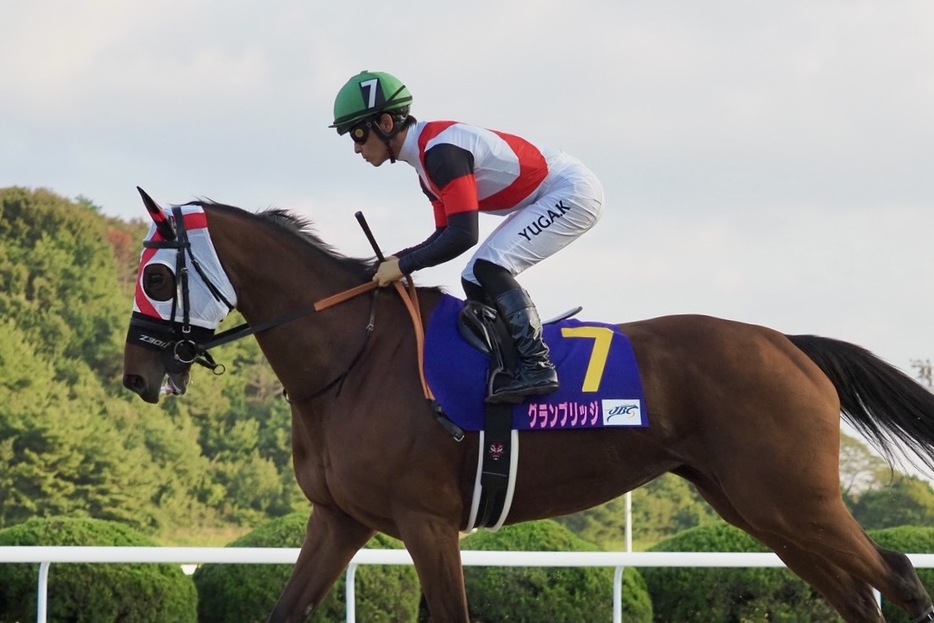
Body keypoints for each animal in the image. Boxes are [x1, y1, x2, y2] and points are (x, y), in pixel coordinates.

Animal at [122, 190, 934, 623]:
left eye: (158, 277)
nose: (135, 375)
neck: (354, 360)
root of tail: (790, 345)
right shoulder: (340, 518)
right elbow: (287, 608)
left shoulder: (427, 521)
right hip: (759, 509)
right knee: (857, 597)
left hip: (795, 498)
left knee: (894, 576)